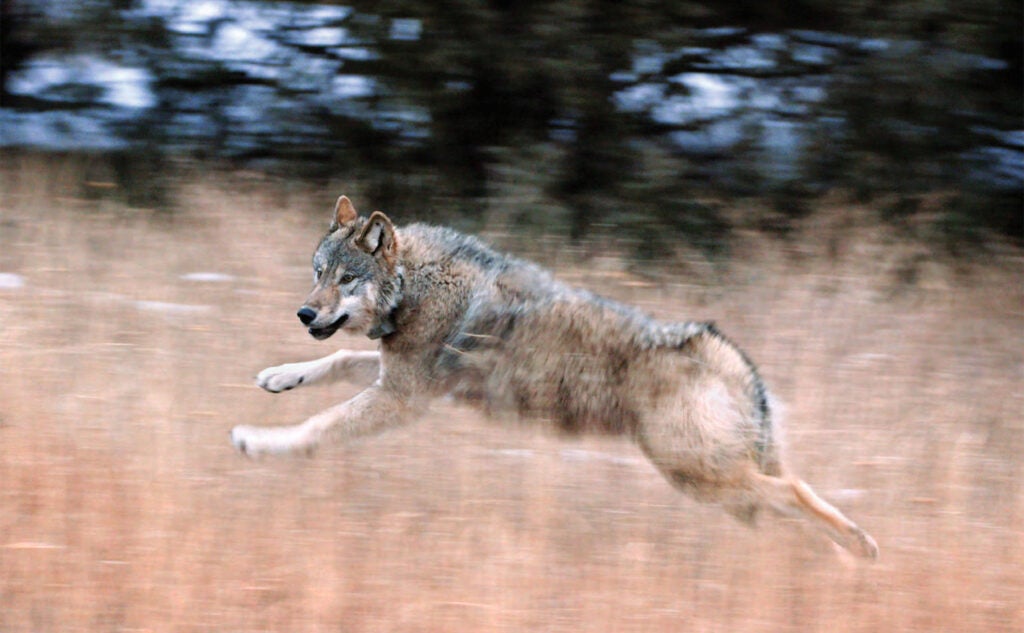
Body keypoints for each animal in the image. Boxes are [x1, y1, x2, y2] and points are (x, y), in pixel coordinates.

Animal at [230, 195, 879, 560]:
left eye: (346, 280)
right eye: (317, 272)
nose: (304, 313)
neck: (416, 284)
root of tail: (724, 351)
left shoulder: (403, 397)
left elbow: (317, 428)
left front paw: (258, 443)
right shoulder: (399, 377)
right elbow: (335, 363)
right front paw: (279, 376)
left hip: (699, 476)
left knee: (796, 493)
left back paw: (861, 548)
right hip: (720, 485)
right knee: (787, 501)